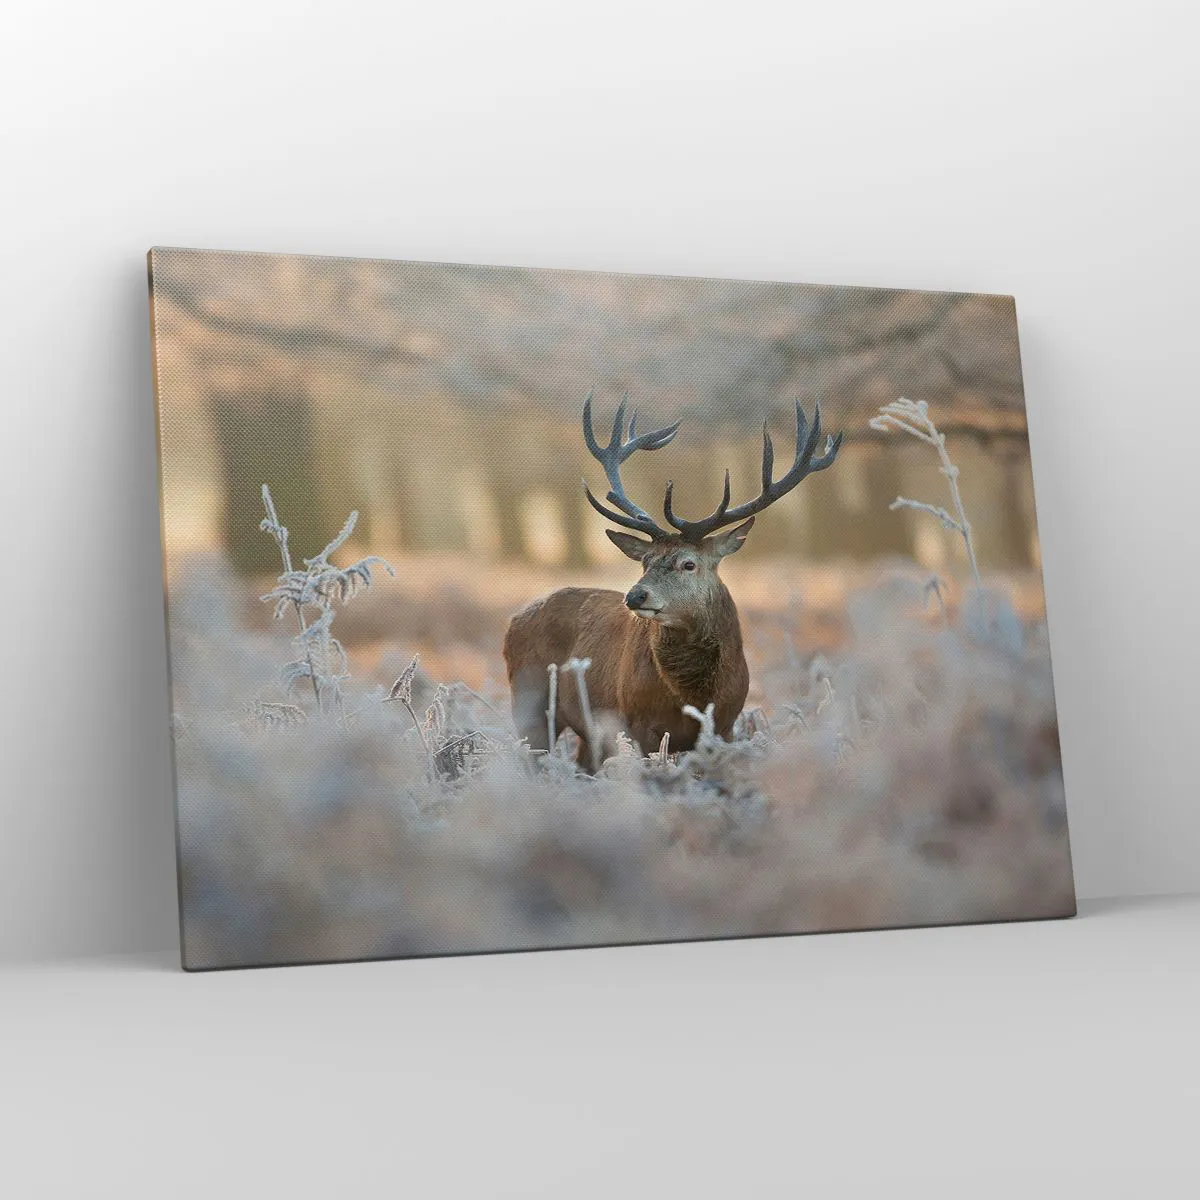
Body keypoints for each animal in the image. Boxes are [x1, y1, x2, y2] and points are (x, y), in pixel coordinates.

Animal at [503, 393, 842, 769]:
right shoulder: (636, 724)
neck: (692, 696)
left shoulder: (726, 725)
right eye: (645, 561)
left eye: (688, 564)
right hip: (530, 702)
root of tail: (514, 620)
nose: (635, 596)